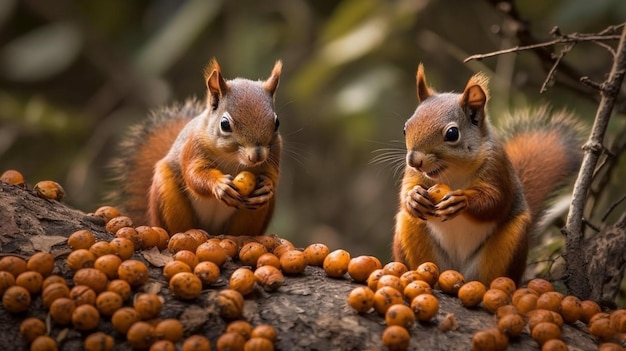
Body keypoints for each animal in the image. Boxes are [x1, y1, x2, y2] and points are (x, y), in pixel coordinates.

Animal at [108, 59, 282, 236]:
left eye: (277, 122)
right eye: (225, 124)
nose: (257, 156)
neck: (232, 159)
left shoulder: (275, 152)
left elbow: (272, 174)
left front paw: (267, 186)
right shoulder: (193, 147)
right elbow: (195, 174)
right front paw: (219, 184)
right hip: (167, 196)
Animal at [392, 64, 584, 286]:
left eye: (452, 134)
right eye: (405, 128)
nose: (414, 161)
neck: (454, 172)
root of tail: (458, 270)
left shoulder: (497, 169)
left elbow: (495, 201)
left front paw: (462, 200)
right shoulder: (414, 175)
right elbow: (406, 189)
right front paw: (413, 197)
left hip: (510, 241)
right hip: (413, 233)